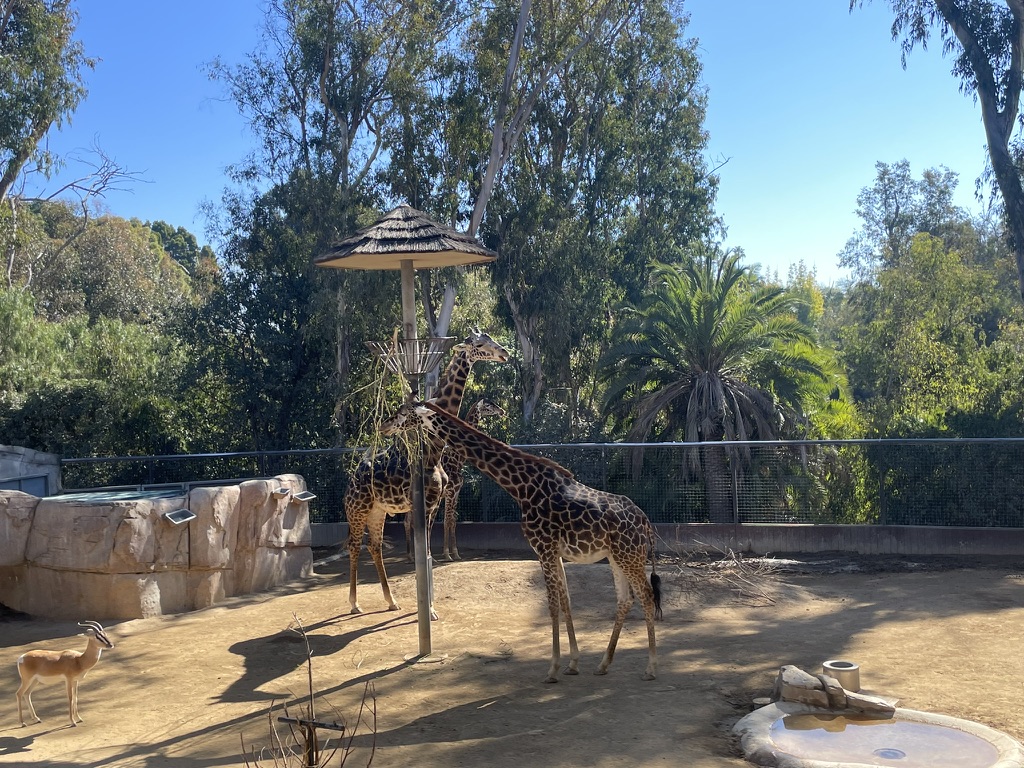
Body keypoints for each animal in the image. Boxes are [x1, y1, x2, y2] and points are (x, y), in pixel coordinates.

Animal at [436, 397, 505, 561]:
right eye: (488, 406)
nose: (502, 411)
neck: (457, 461)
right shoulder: (450, 492)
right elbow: (447, 520)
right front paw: (447, 554)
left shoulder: (456, 492)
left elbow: (453, 520)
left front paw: (455, 553)